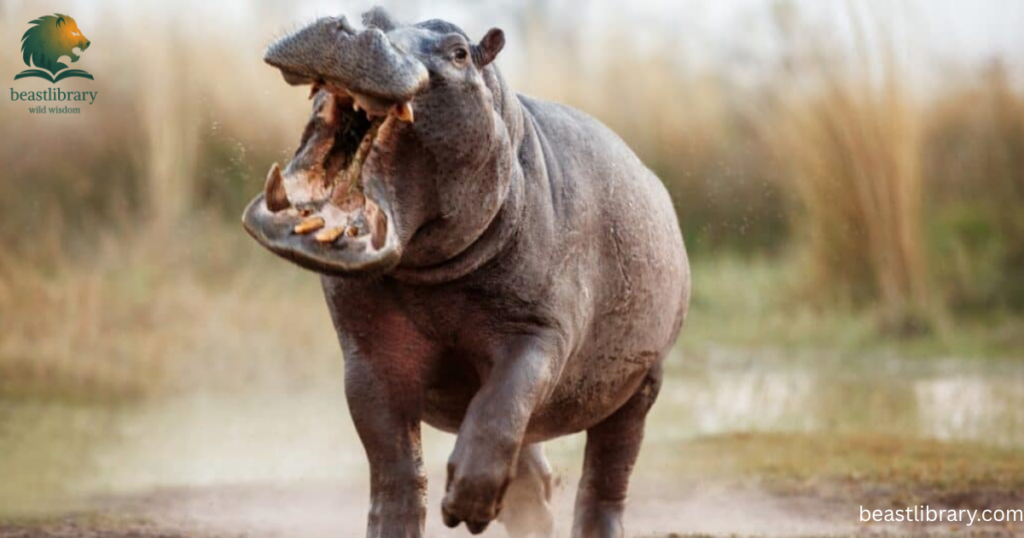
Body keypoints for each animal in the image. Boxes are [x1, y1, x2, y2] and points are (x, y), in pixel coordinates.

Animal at [242, 7, 690, 537]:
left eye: (458, 51)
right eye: (374, 14)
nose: (351, 28)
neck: (430, 275)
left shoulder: (539, 331)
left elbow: (504, 402)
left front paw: (468, 506)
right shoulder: (368, 355)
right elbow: (394, 465)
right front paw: (412, 519)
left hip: (642, 383)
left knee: (606, 474)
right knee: (531, 464)